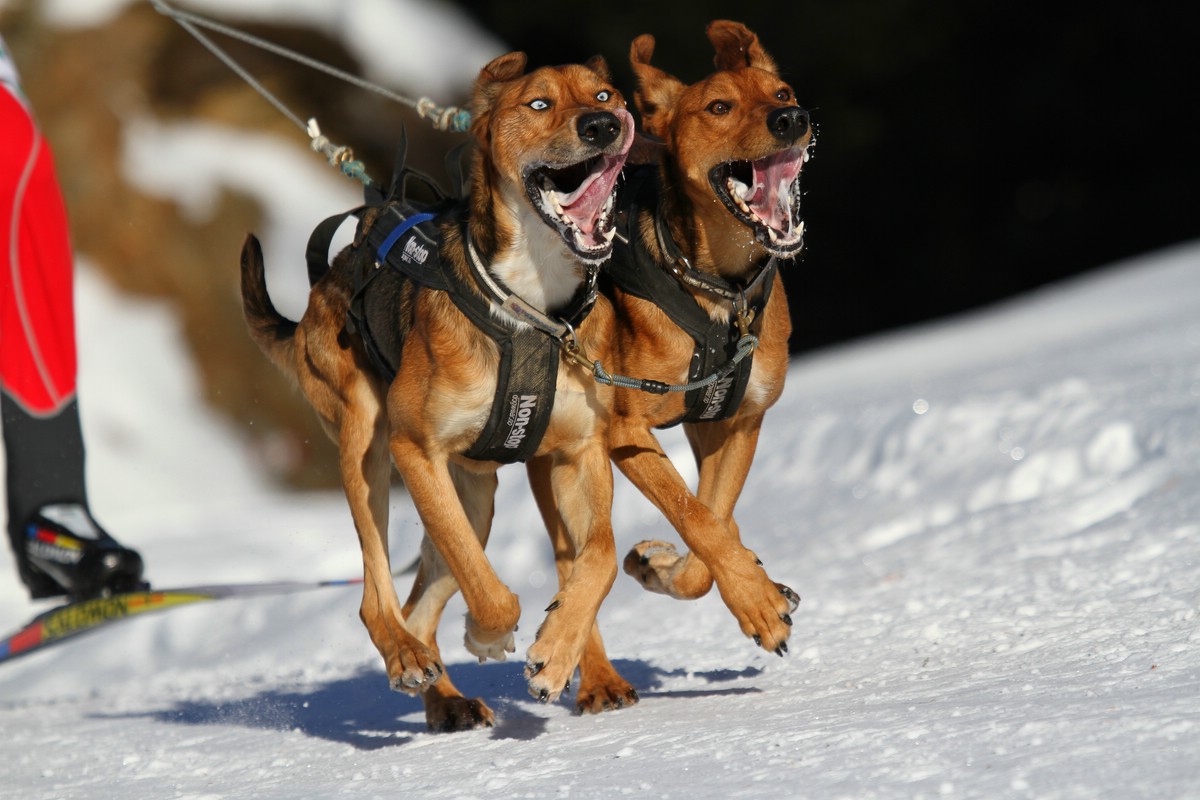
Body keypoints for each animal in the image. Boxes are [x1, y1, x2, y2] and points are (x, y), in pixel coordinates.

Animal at [244, 51, 638, 734]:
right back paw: (407, 656)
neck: (530, 304)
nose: (602, 126)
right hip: (368, 448)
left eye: (605, 95)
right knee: (379, 595)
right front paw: (490, 633)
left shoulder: (578, 454)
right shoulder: (415, 448)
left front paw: (559, 651)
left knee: (421, 600)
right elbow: (488, 588)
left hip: (473, 492)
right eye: (538, 103)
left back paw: (442, 690)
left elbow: (603, 555)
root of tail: (323, 286)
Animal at [604, 21, 811, 657]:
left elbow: (711, 519)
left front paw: (687, 573)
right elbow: (694, 516)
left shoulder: (737, 420)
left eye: (783, 93)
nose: (792, 120)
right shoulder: (624, 433)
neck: (717, 287)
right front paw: (756, 600)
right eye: (719, 107)